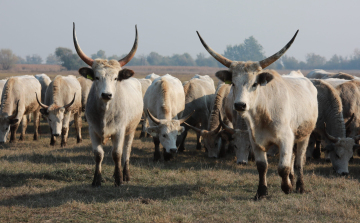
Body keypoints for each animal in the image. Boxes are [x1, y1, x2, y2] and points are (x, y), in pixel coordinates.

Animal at [73, 22, 142, 186]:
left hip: (131, 130)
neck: (105, 111)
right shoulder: (93, 130)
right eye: (97, 77)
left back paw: (126, 174)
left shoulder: (120, 130)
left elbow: (116, 154)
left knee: (126, 151)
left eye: (116, 78)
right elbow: (98, 154)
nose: (106, 95)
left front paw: (118, 179)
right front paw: (97, 180)